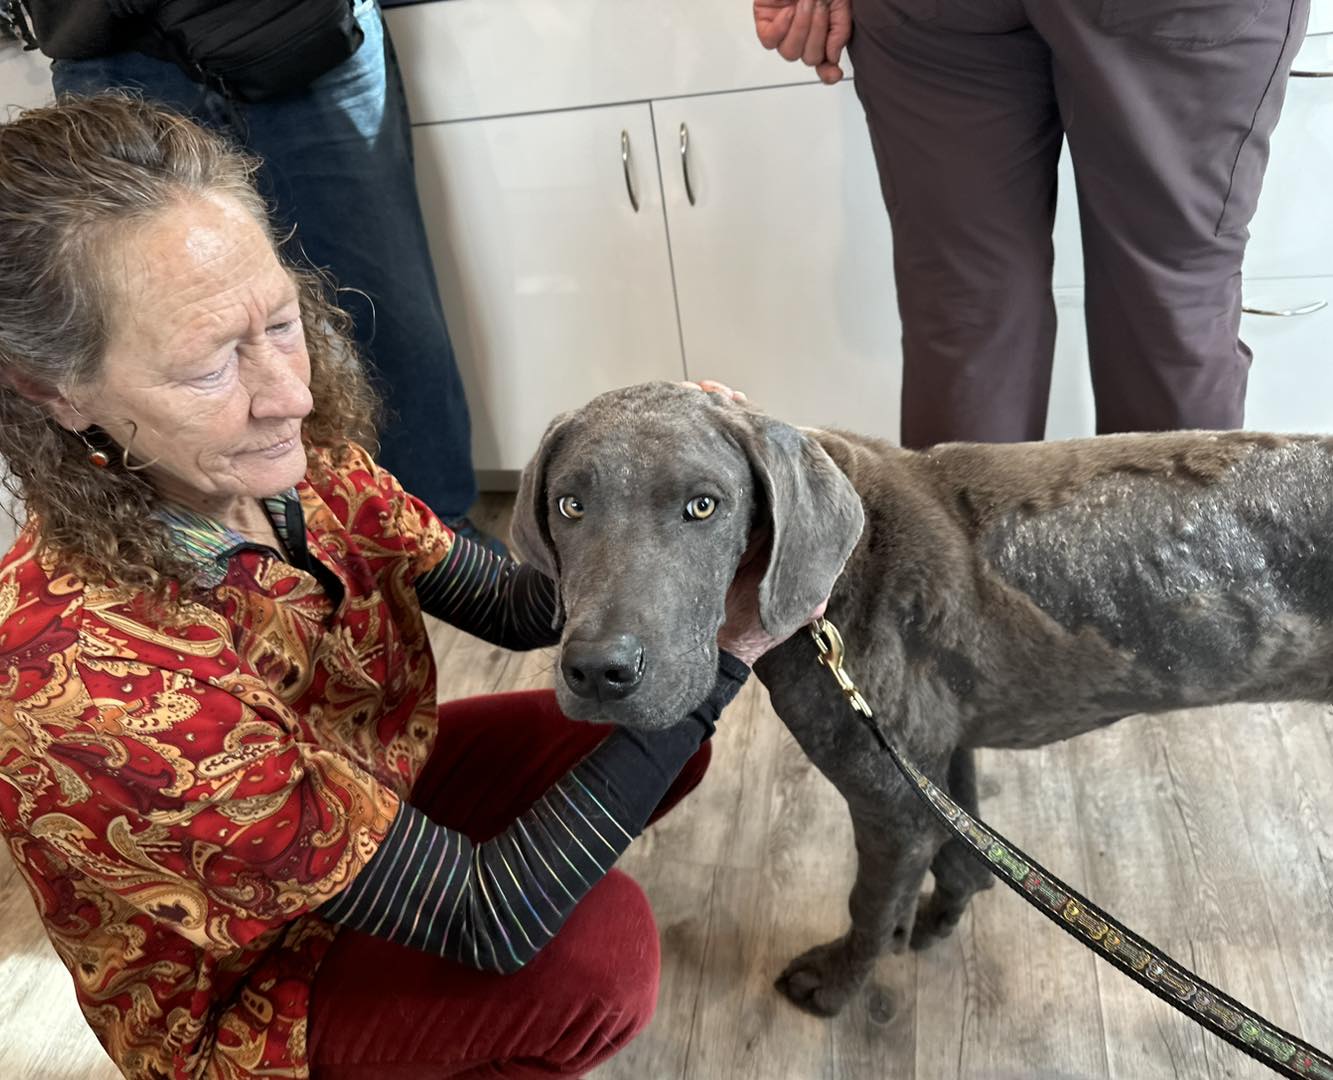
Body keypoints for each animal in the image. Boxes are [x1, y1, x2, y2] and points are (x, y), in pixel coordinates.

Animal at [509, 381, 1333, 1018]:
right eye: (569, 505)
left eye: (703, 506)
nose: (599, 672)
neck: (832, 589)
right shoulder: (934, 754)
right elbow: (961, 848)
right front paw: (939, 914)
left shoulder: (889, 800)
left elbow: (869, 903)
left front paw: (837, 983)